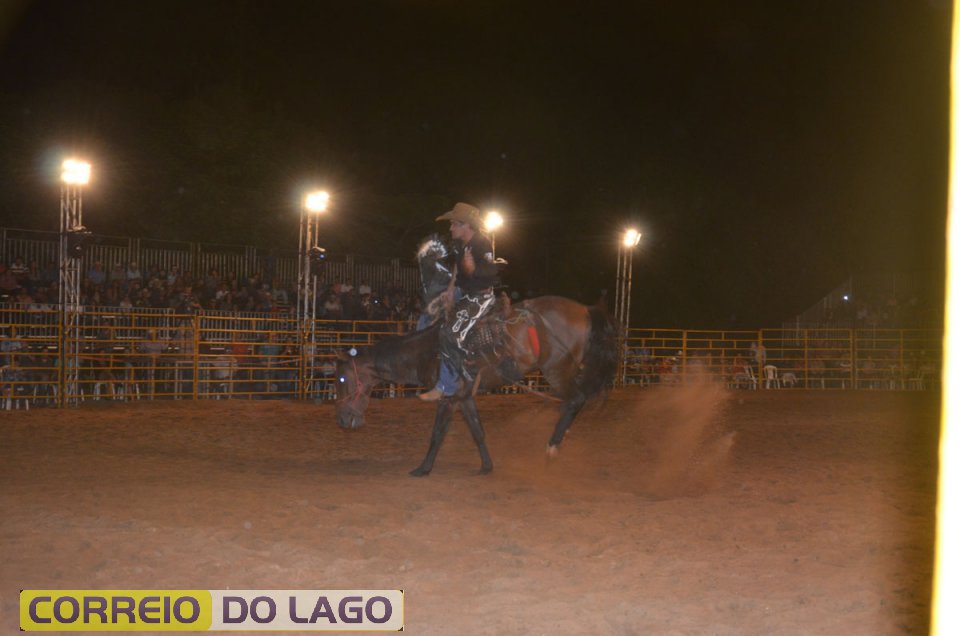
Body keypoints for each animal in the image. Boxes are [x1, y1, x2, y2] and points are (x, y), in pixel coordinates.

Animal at [334, 236, 619, 476]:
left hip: (557, 368)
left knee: (575, 399)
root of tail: (586, 309)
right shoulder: (465, 396)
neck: (426, 351)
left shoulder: (448, 397)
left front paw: (423, 469)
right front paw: (486, 466)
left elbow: (437, 434)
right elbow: (477, 431)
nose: (343, 419)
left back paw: (552, 448)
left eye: (341, 380)